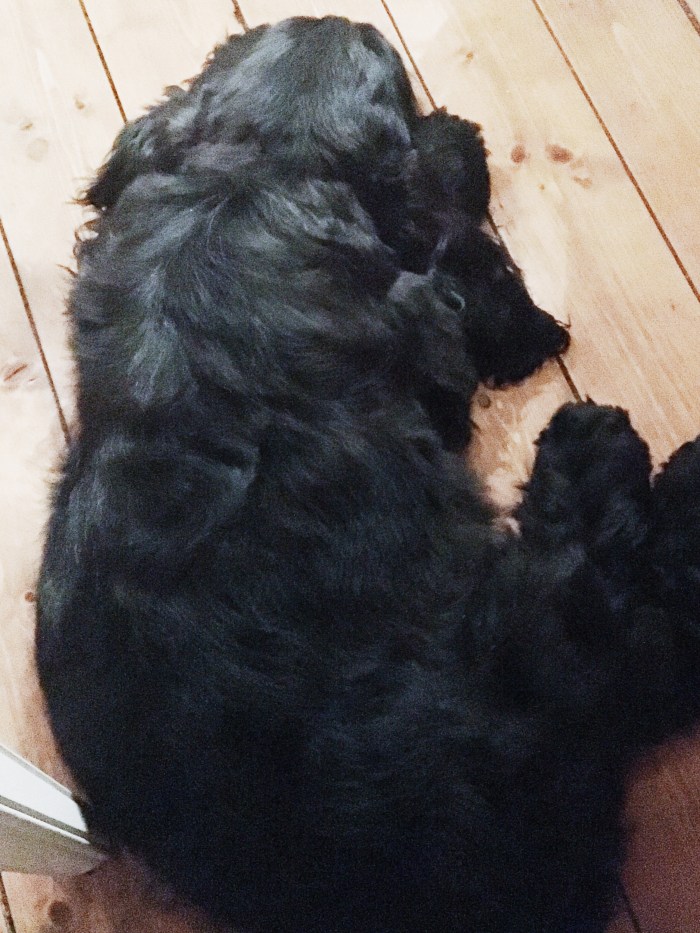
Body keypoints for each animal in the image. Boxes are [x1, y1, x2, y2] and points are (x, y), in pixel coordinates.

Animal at [36, 16, 700, 933]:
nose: (463, 126)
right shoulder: (428, 321)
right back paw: (616, 451)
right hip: (535, 634)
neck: (251, 175)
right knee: (638, 623)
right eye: (408, 105)